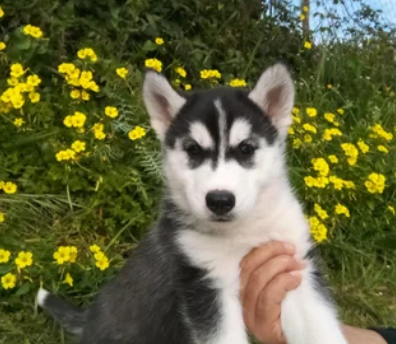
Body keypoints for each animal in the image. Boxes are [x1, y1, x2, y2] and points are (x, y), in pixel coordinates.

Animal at [37, 64, 346, 344]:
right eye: (193, 150)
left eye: (246, 149)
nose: (220, 201)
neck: (242, 230)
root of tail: (89, 319)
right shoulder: (204, 281)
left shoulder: (293, 266)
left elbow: (321, 329)